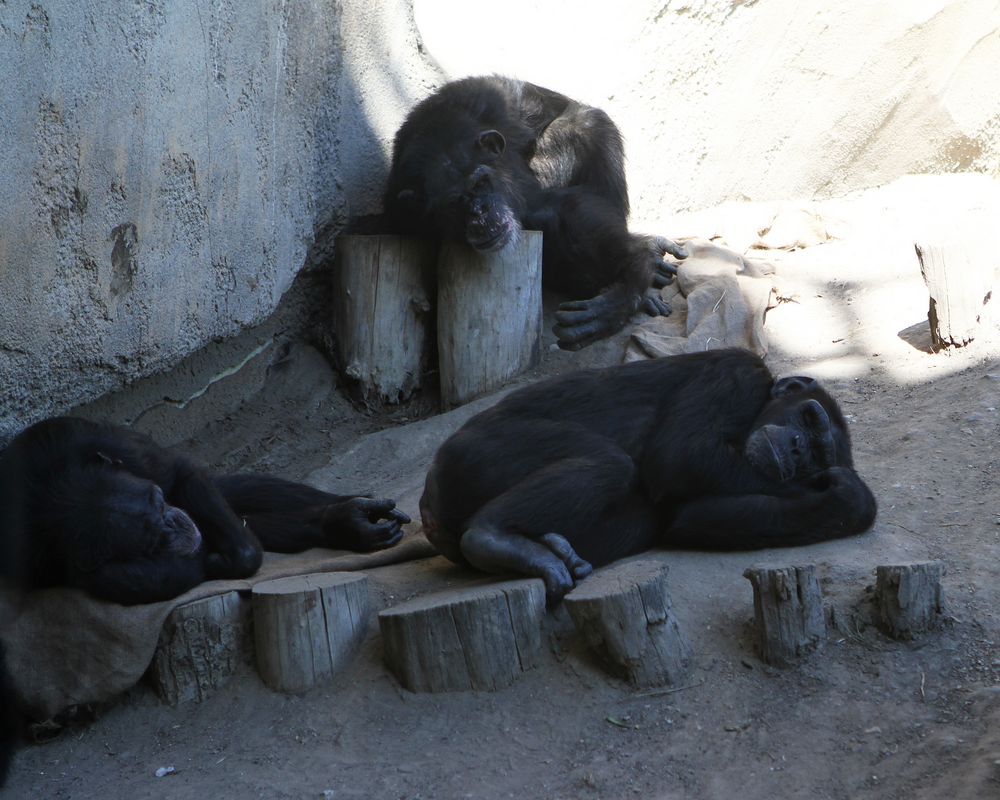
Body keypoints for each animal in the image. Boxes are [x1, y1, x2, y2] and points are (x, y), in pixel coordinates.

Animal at [0, 418, 410, 608]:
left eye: (158, 501)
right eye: (151, 540)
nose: (172, 521)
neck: (55, 495)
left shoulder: (99, 441)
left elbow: (180, 472)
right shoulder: (92, 572)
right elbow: (158, 578)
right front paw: (215, 562)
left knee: (234, 491)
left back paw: (350, 516)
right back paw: (346, 525)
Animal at [384, 74, 688, 350]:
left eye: (480, 183)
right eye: (452, 204)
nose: (479, 214)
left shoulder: (515, 176)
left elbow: (560, 208)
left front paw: (623, 294)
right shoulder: (400, 212)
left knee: (588, 127)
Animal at [420, 348, 876, 600]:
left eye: (818, 453)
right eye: (808, 419)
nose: (798, 450)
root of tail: (427, 504)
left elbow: (691, 517)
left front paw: (845, 501)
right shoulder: (735, 371)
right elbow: (683, 454)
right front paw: (846, 495)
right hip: (477, 452)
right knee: (610, 463)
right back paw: (494, 538)